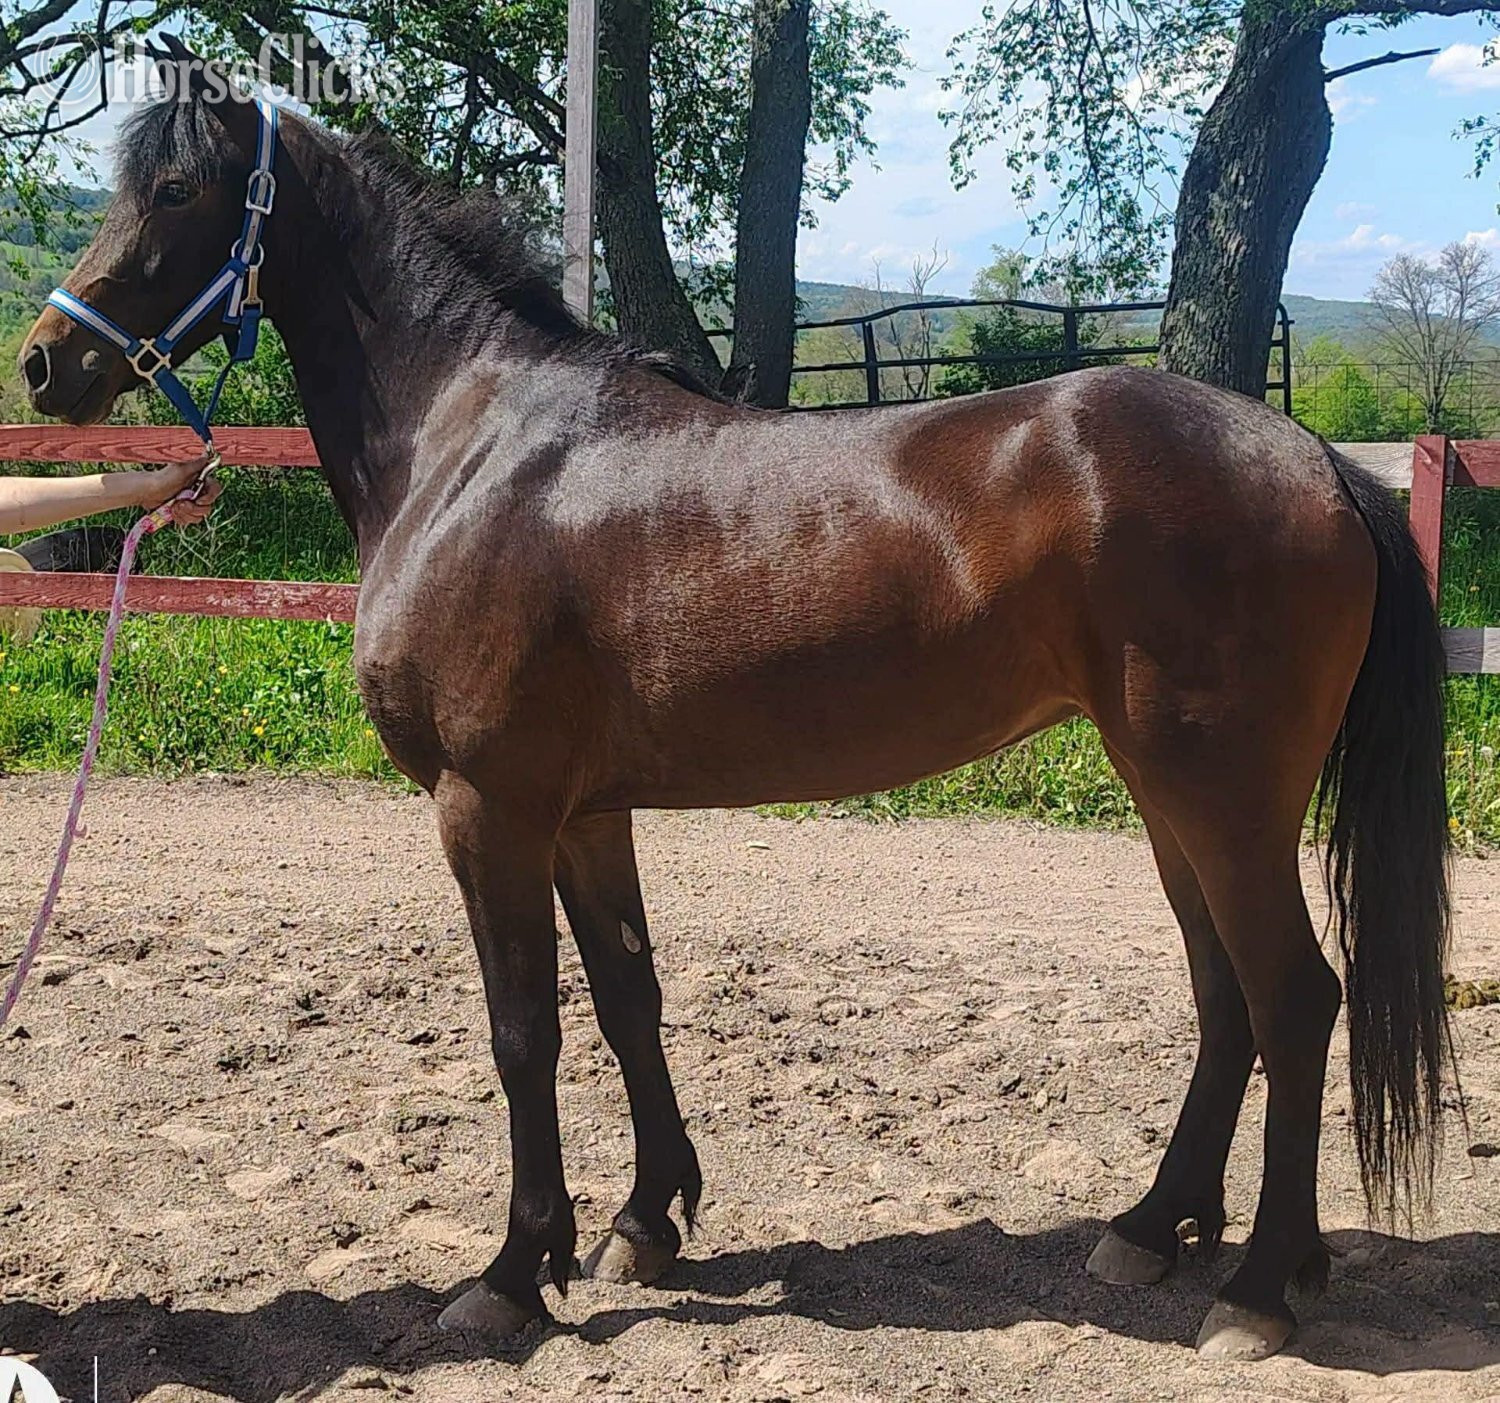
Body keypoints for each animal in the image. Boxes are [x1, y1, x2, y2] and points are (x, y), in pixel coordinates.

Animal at [19, 48, 1455, 1362]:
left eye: (178, 187)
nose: (44, 364)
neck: (471, 445)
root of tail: (1319, 460)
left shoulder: (490, 808)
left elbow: (523, 1028)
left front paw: (511, 1270)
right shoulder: (584, 814)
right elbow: (627, 999)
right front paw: (642, 1221)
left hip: (1222, 799)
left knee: (1292, 999)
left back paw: (1257, 1289)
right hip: (1172, 798)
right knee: (1224, 1000)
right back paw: (1153, 1228)